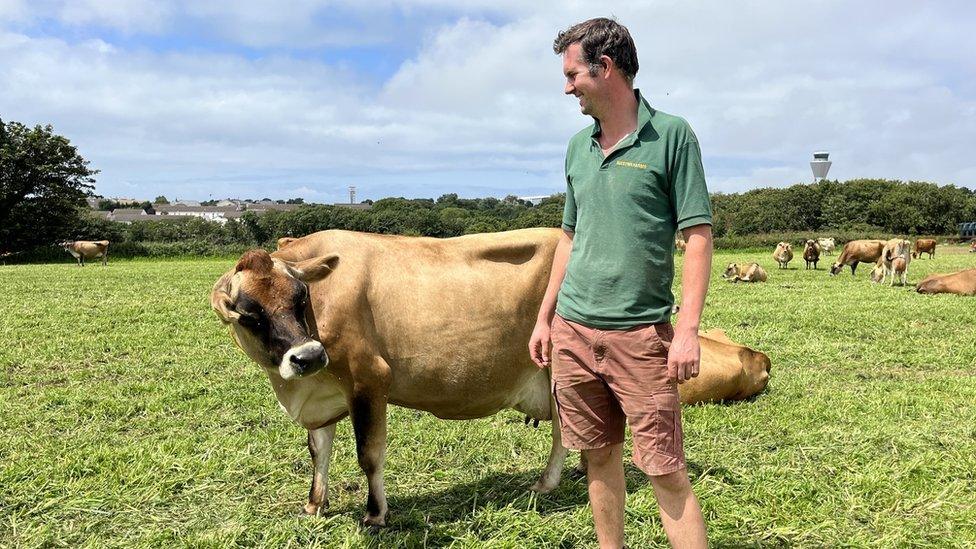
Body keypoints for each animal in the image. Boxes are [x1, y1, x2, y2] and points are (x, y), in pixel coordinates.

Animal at [212, 228, 772, 528]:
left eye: (300, 297)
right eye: (248, 314)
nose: (307, 356)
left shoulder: (369, 380)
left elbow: (367, 454)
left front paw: (375, 515)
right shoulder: (323, 392)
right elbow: (319, 451)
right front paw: (315, 504)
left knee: (568, 430)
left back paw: (548, 482)